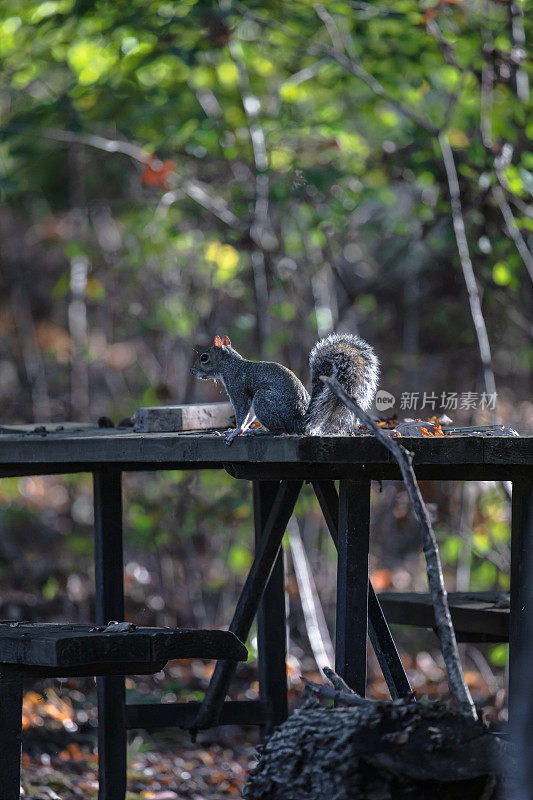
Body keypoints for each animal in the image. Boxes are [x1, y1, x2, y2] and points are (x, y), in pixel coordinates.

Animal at [189, 332, 376, 444]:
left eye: (204, 358)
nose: (192, 371)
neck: (230, 366)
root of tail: (299, 423)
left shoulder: (238, 388)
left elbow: (242, 412)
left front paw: (236, 431)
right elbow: (249, 416)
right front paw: (240, 429)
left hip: (263, 399)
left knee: (280, 431)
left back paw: (261, 432)